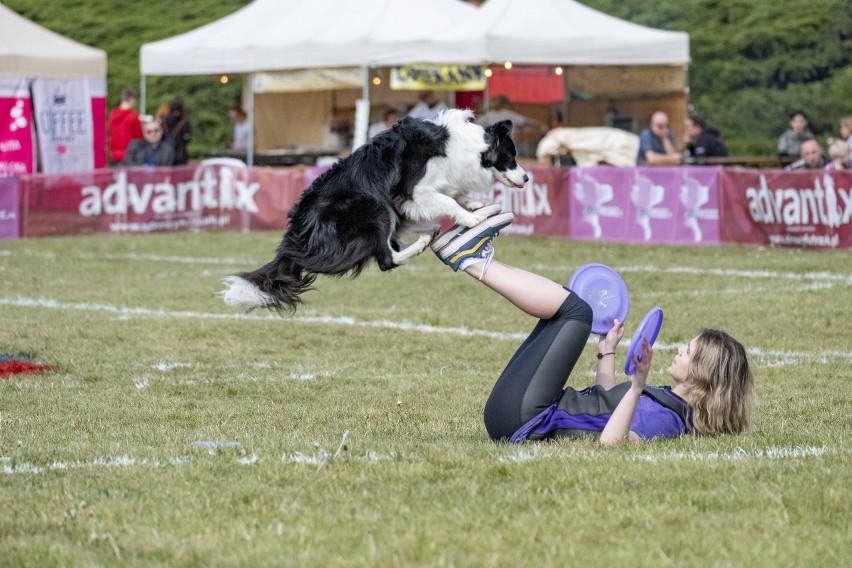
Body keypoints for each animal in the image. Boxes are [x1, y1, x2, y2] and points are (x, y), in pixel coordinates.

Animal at [220, 108, 524, 312]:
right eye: (511, 157)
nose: (526, 178)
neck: (466, 147)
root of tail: (296, 232)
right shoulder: (415, 191)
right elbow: (448, 201)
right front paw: (473, 218)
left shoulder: (420, 194)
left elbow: (455, 194)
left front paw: (475, 205)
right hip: (374, 208)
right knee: (386, 258)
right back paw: (423, 240)